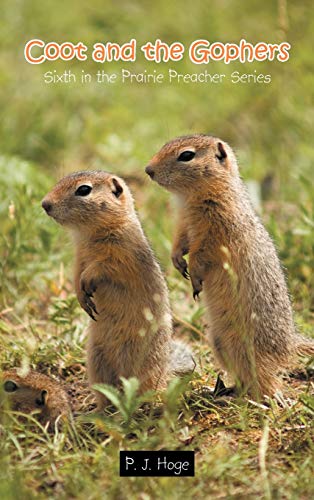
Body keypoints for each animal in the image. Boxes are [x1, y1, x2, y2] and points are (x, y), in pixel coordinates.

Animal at [41, 170, 194, 408]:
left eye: (84, 189)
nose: (45, 204)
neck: (89, 234)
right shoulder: (79, 256)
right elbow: (76, 274)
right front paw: (82, 297)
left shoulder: (121, 252)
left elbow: (104, 266)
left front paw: (88, 280)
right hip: (96, 361)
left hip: (139, 363)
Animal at [147, 134, 314, 398]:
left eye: (186, 155)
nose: (148, 170)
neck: (190, 198)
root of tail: (290, 343)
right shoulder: (184, 223)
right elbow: (181, 241)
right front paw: (177, 261)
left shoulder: (216, 229)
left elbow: (202, 252)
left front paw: (194, 277)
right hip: (219, 343)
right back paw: (223, 391)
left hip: (245, 347)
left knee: (267, 380)